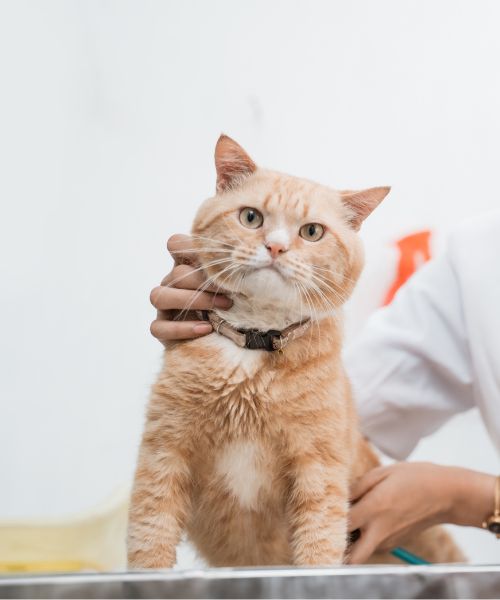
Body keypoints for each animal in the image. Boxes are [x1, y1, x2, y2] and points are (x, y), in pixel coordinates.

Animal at [126, 135, 464, 568]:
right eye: (251, 217)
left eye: (312, 231)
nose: (276, 247)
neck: (254, 346)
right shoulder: (164, 453)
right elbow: (150, 539)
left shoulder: (318, 469)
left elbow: (319, 547)